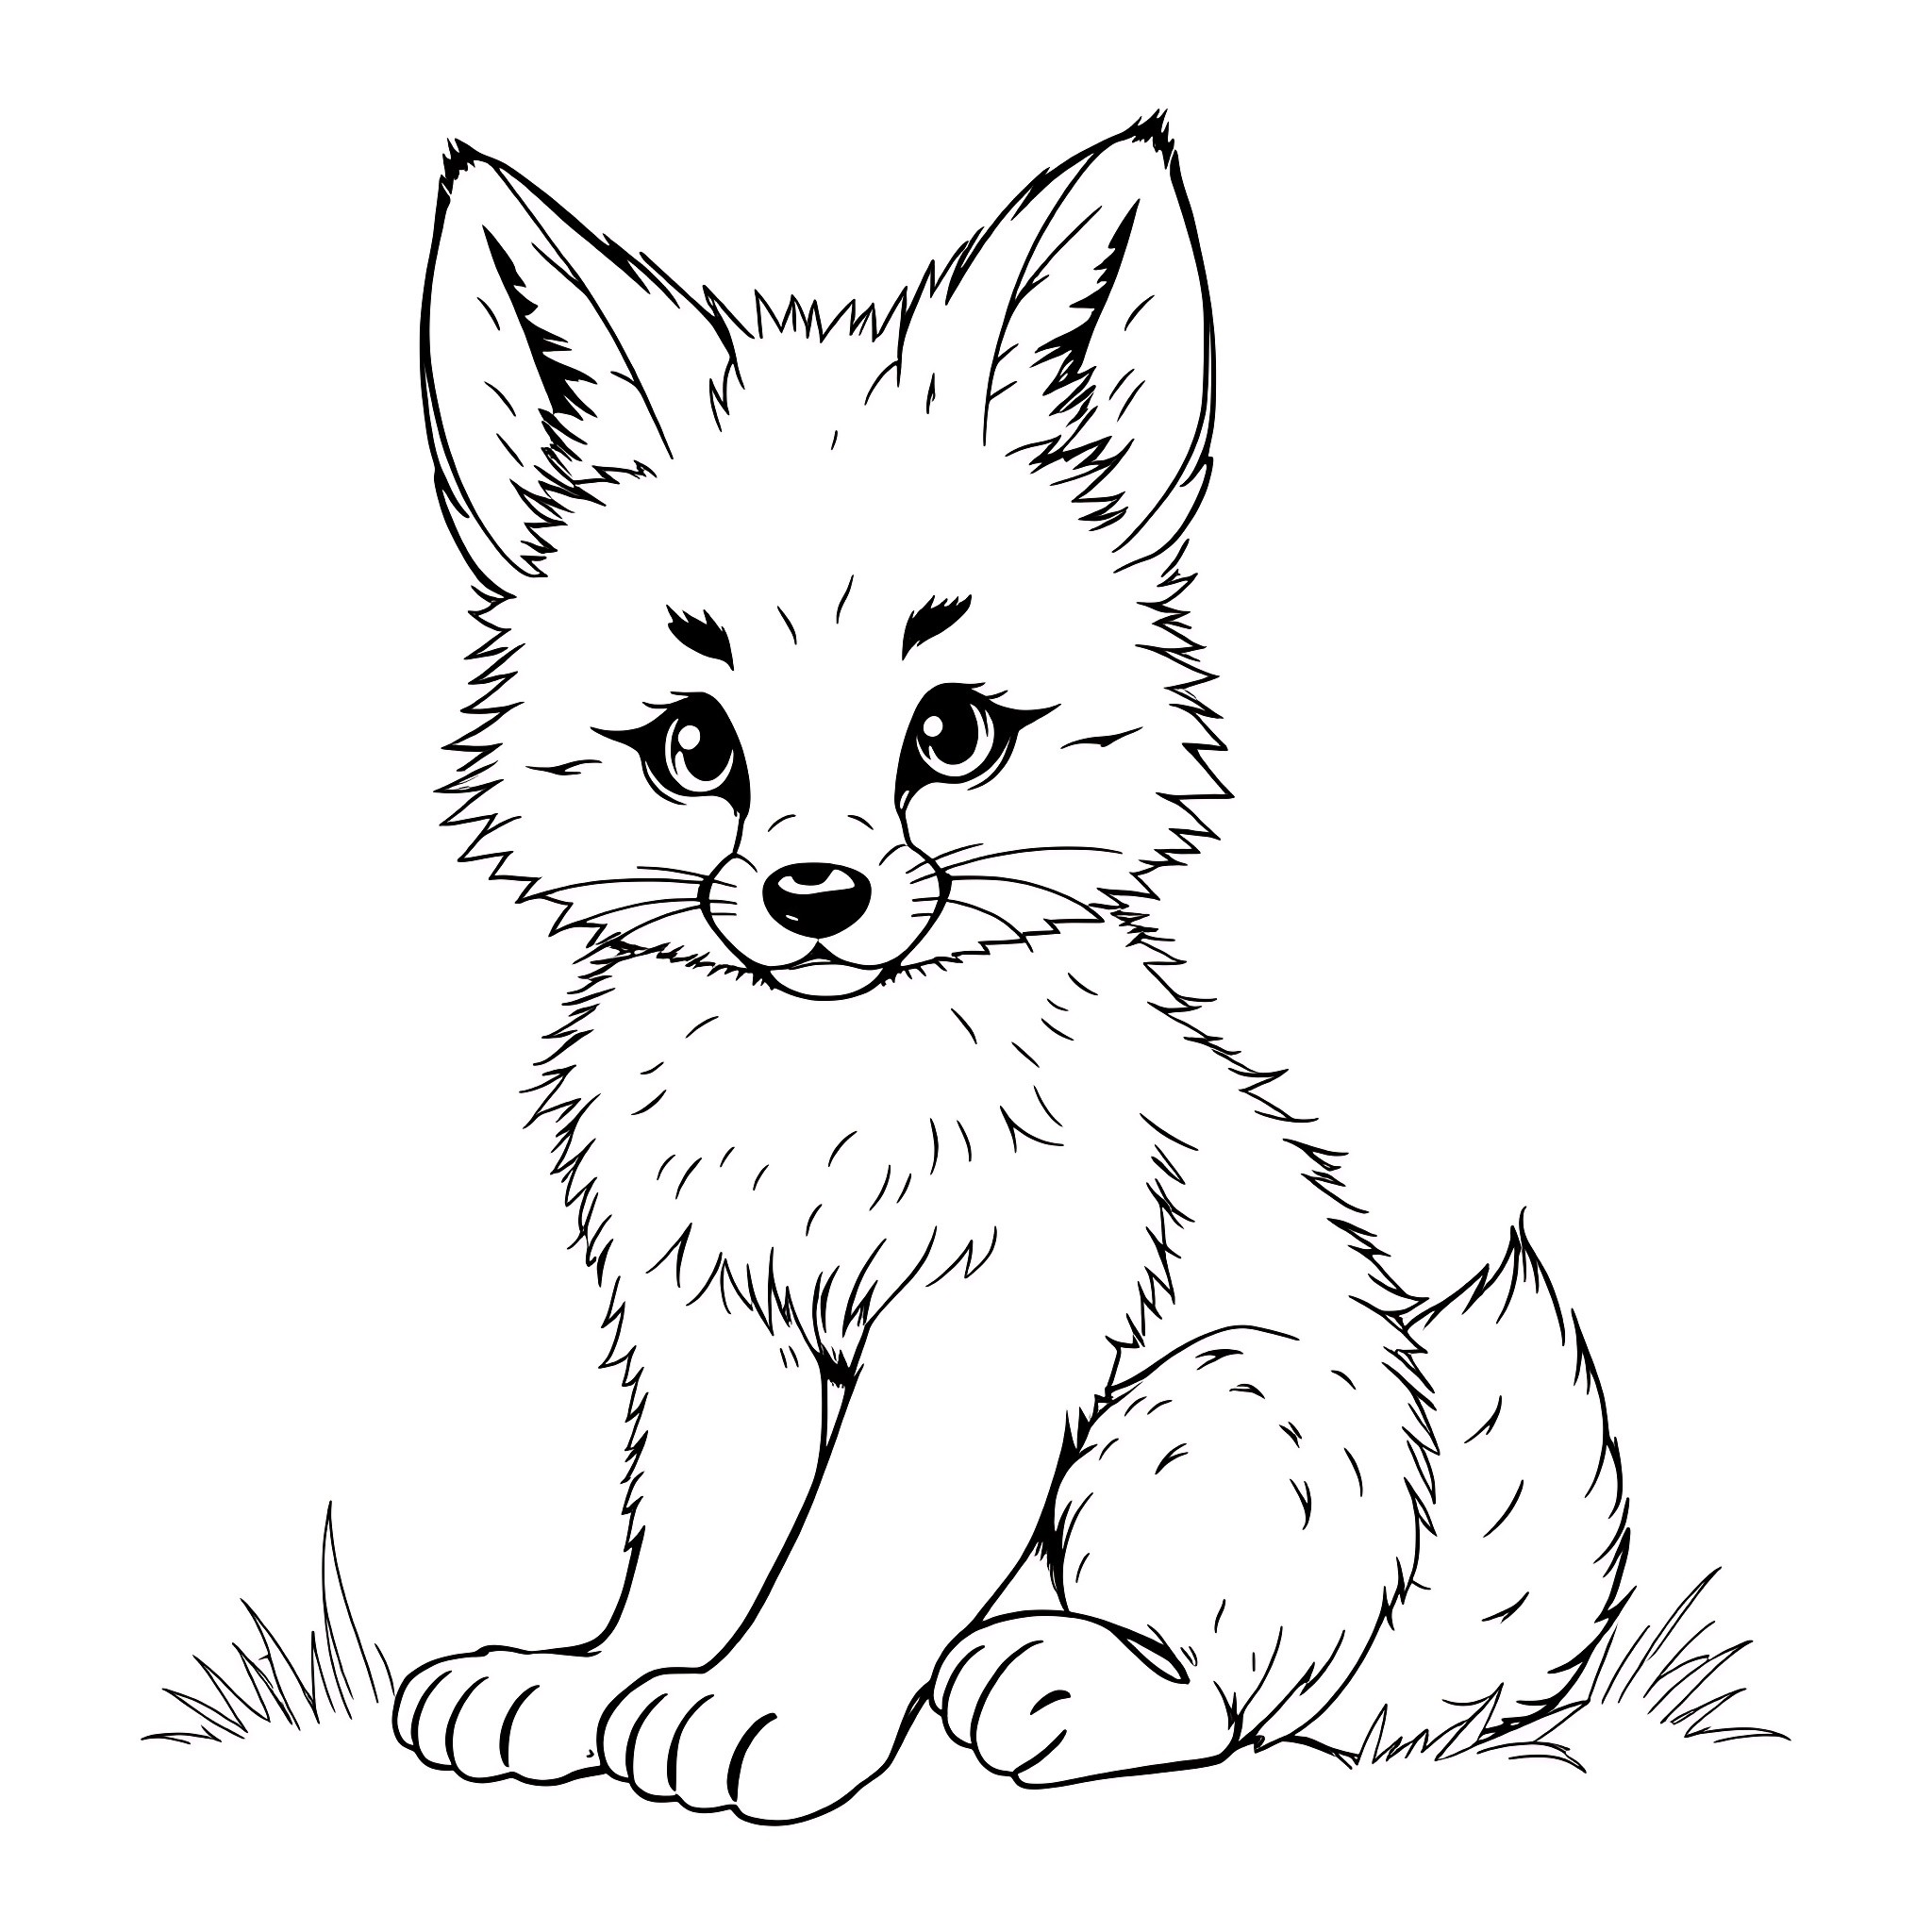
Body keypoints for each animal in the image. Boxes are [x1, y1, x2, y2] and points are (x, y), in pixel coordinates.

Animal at [393, 115, 1629, 1824]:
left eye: (953, 734)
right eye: (695, 749)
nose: (817, 896)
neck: (820, 1103)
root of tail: (1404, 1592)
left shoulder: (991, 1311)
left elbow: (861, 1549)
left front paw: (763, 1713)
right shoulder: (709, 1313)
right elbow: (701, 1548)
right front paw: (604, 1685)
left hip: (1208, 1412)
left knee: (1239, 1694)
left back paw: (1061, 1680)